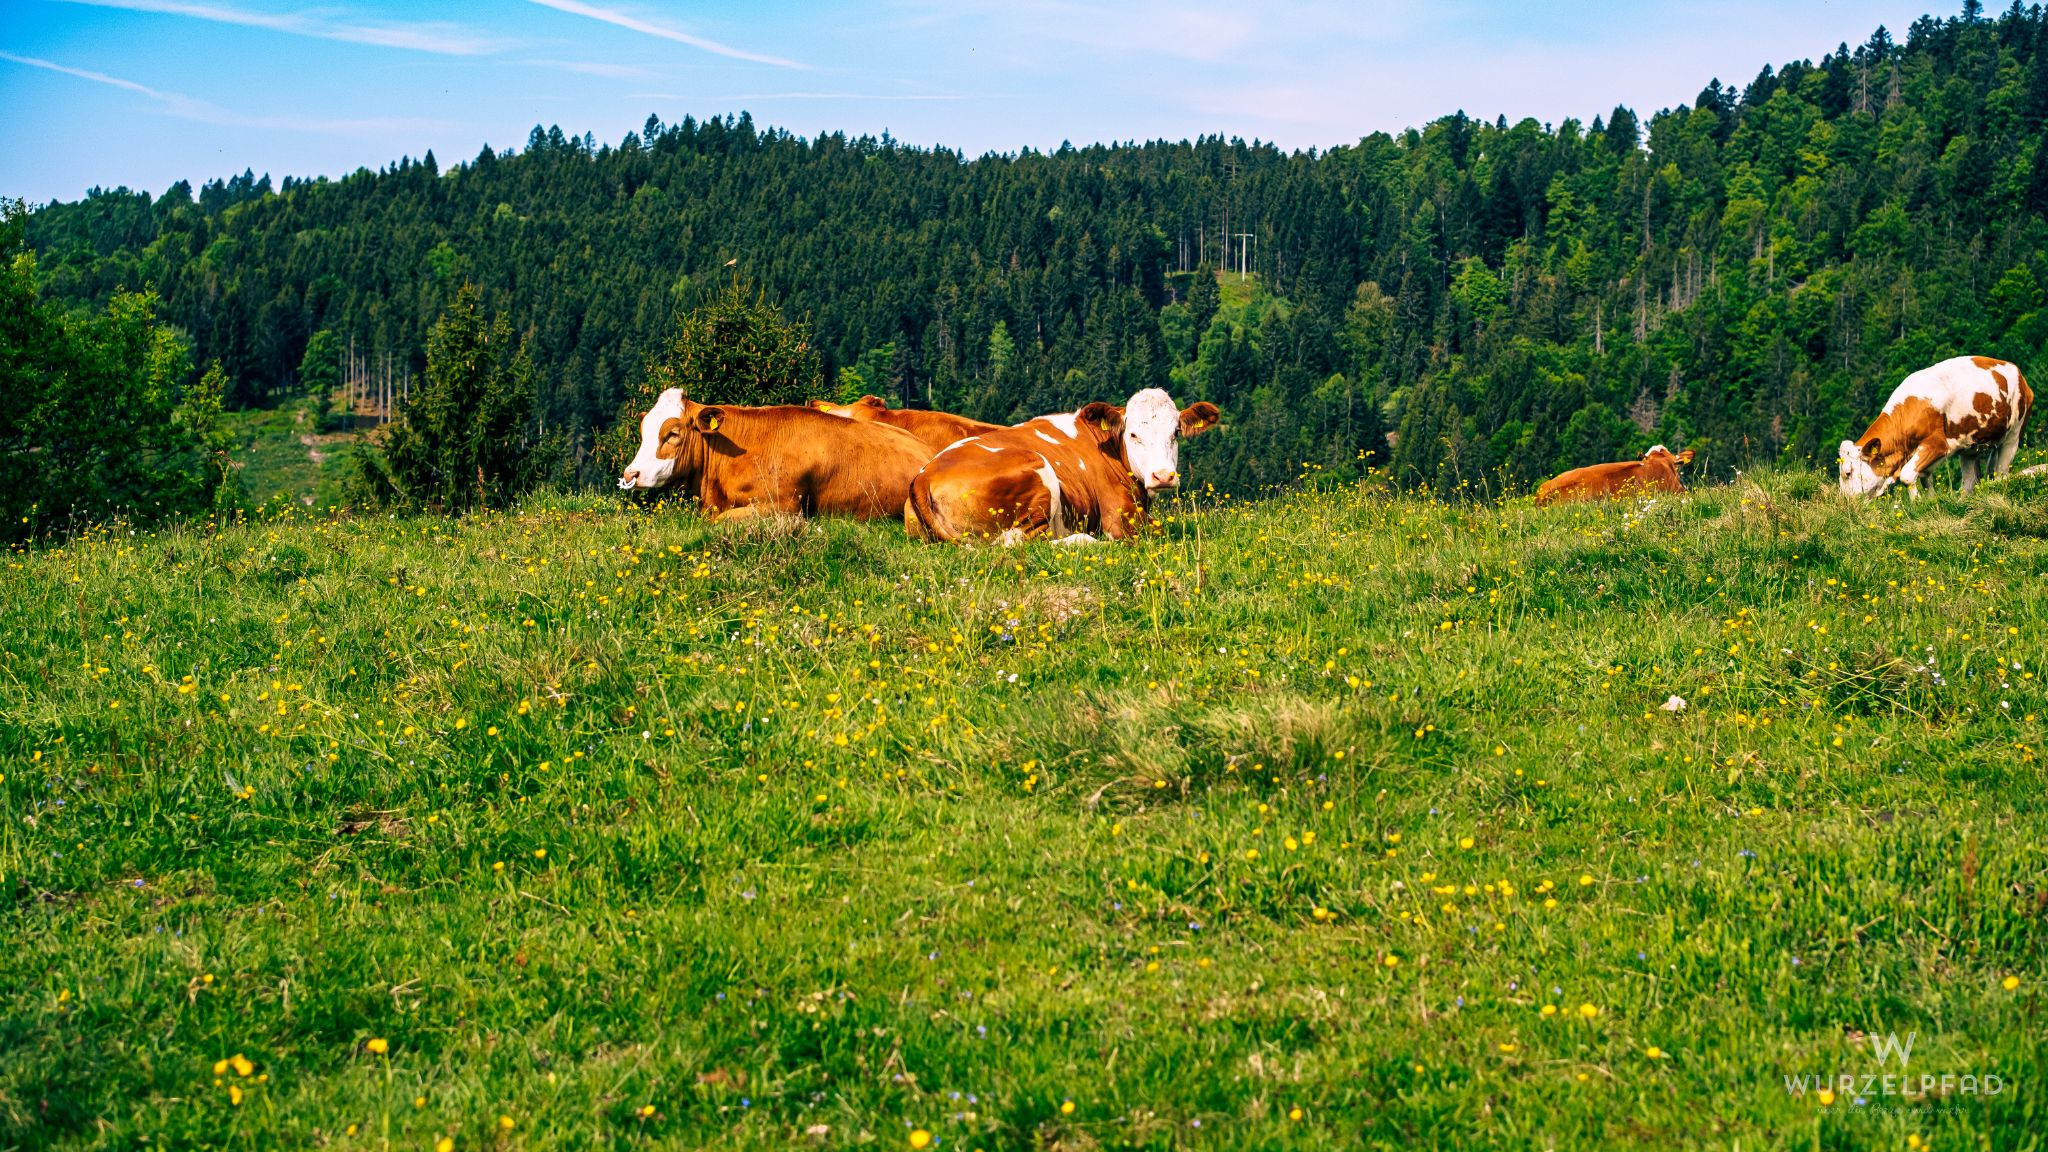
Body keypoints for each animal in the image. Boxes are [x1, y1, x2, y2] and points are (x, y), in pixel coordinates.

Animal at [906, 387, 1220, 545]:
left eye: (1176, 432)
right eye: (1133, 434)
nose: (1163, 476)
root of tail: (925, 475)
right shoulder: (1120, 518)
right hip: (1038, 472)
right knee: (1023, 542)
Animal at [1839, 356, 2033, 498]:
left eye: (1847, 473)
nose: (1844, 503)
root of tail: (2016, 371)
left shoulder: (1937, 444)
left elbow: (1907, 476)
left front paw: (1917, 505)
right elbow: (1925, 480)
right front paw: (1929, 504)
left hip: (2013, 436)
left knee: (2001, 473)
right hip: (1970, 448)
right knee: (1970, 480)